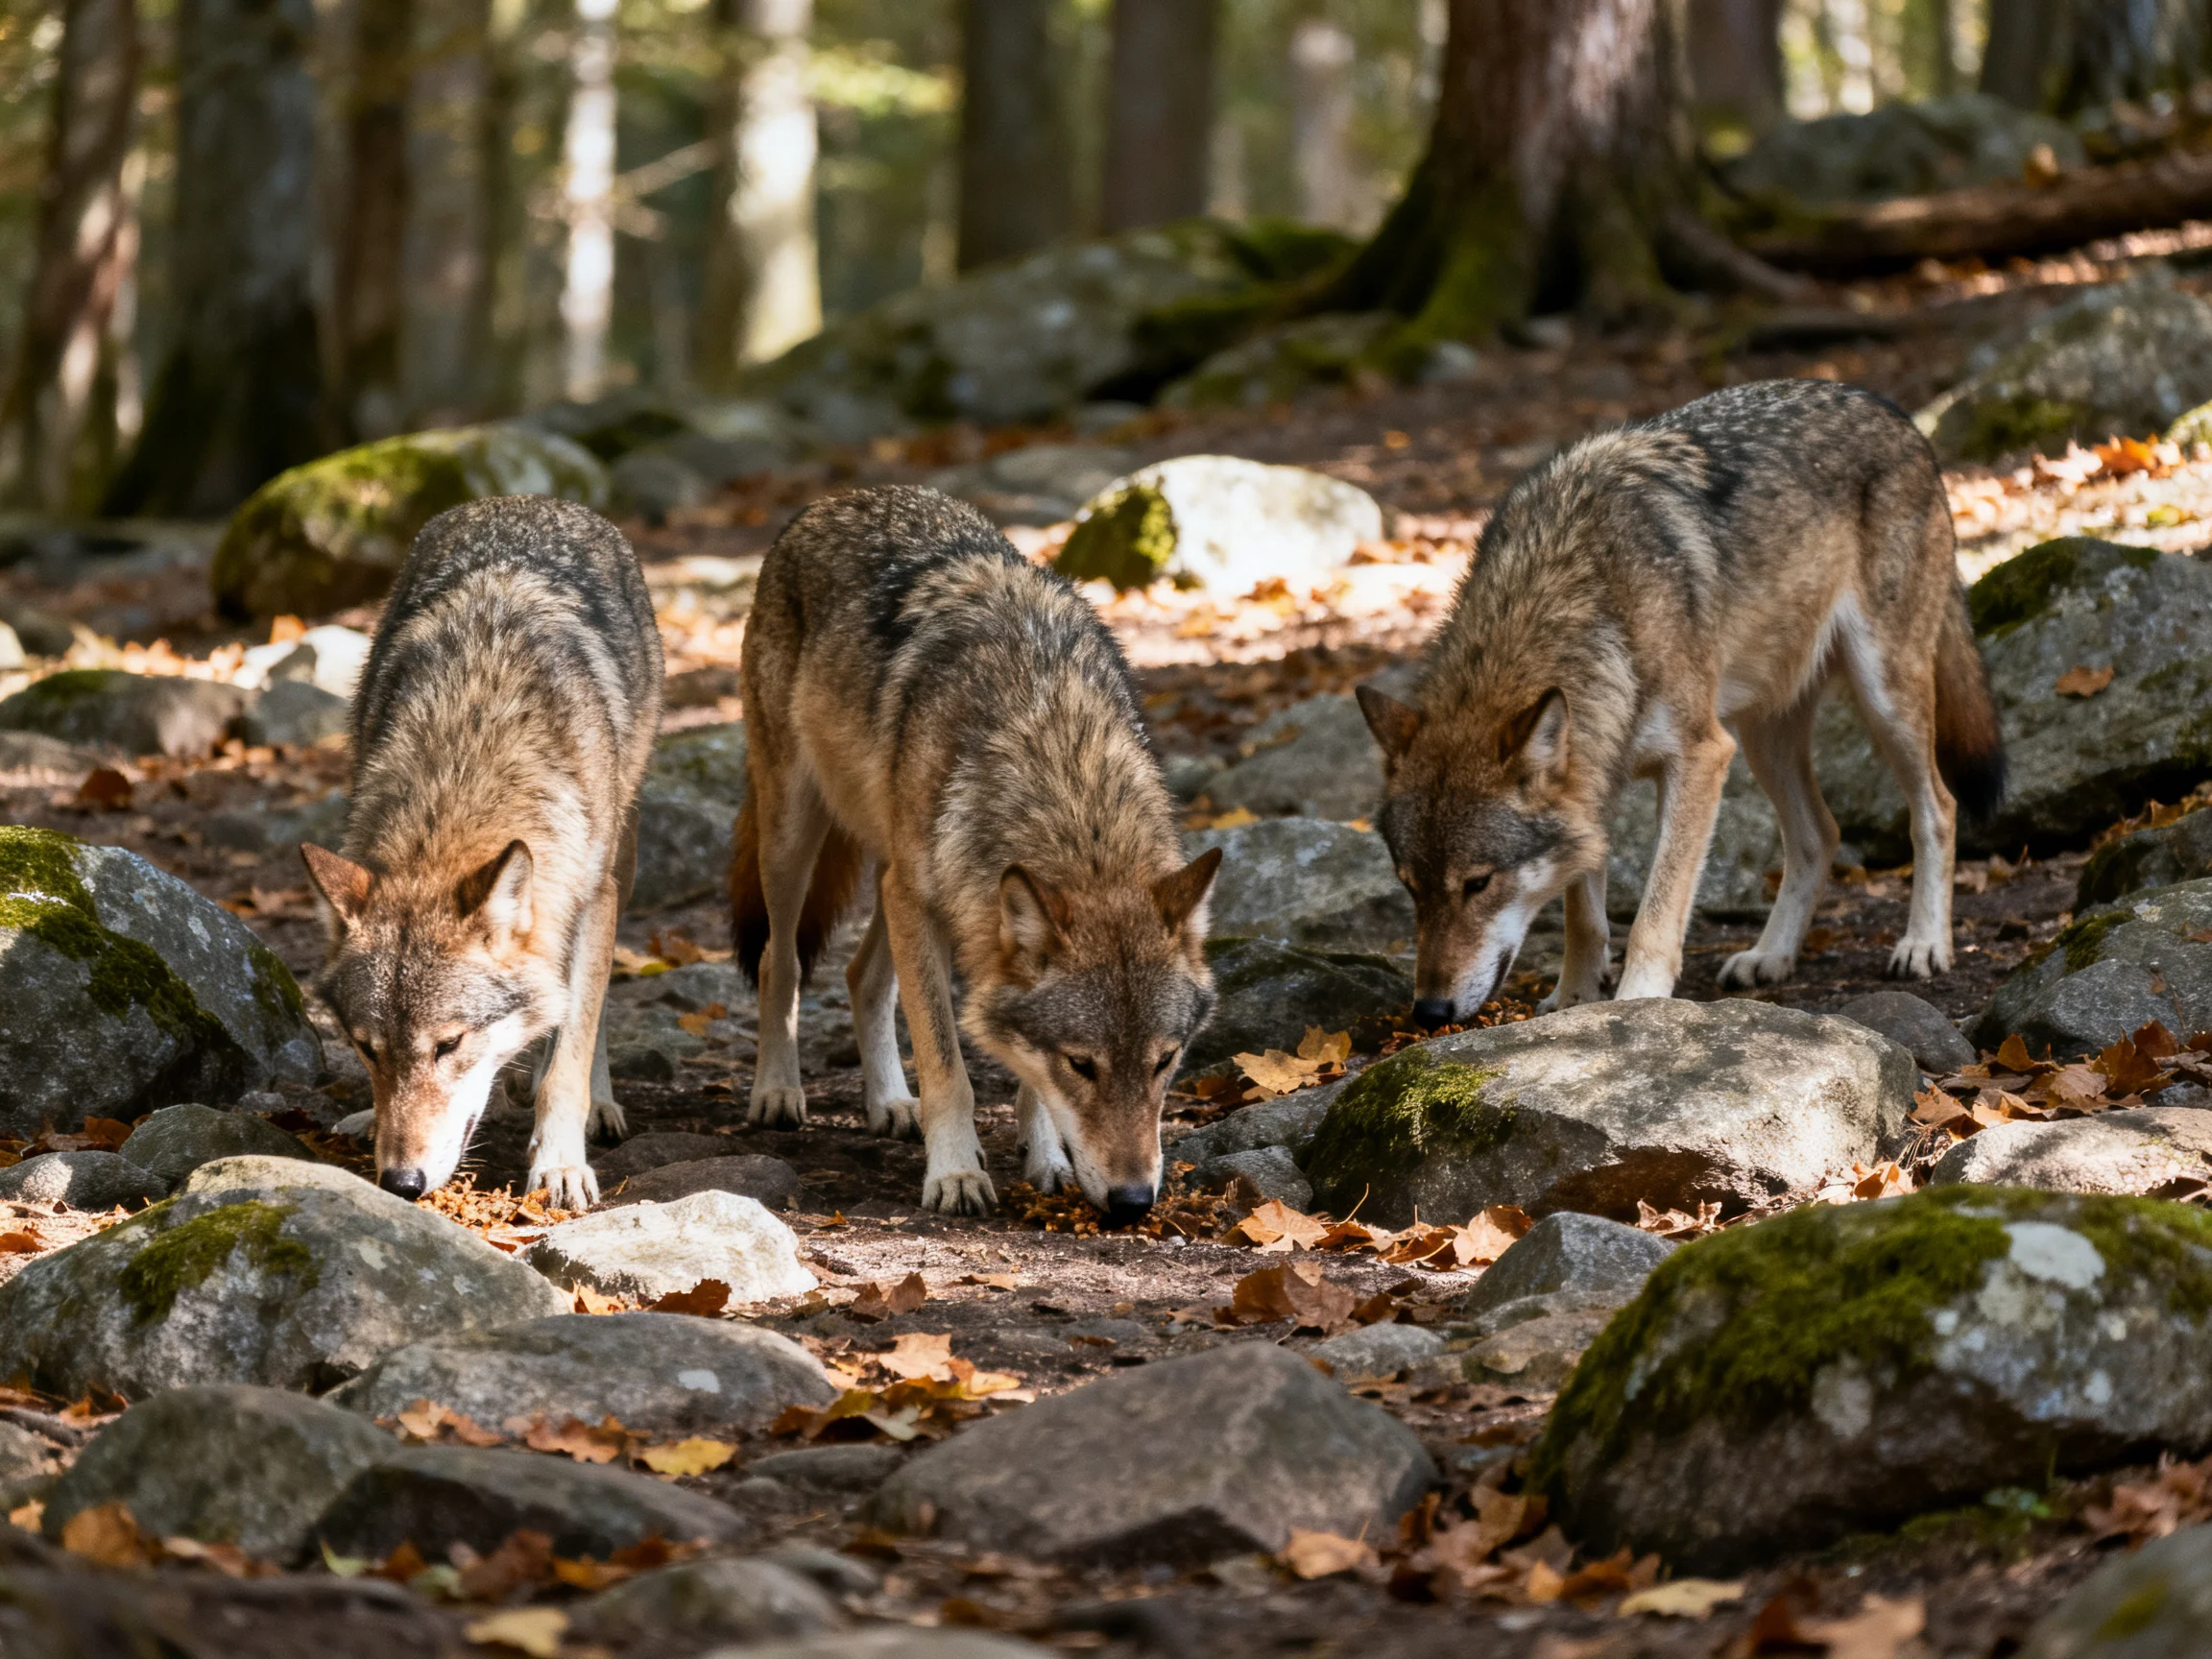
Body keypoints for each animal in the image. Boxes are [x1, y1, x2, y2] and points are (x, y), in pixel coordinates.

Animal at [299, 496, 663, 1209]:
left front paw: (559, 1163)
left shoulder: (589, 895)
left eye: (450, 1044)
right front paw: (372, 1116)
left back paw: (597, 1103)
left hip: (622, 860)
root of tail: (529, 500)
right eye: (367, 1049)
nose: (401, 1182)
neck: (464, 760)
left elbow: (571, 1049)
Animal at [731, 486, 1219, 1223]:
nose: (1134, 1201)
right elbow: (948, 1068)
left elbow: (1021, 1075)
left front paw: (1046, 1160)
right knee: (778, 961)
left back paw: (889, 1103)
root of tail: (841, 497)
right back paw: (778, 1090)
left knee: (861, 976)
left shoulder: (944, 908)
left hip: (896, 875)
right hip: (797, 836)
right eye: (1083, 1064)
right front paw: (957, 1175)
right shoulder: (921, 901)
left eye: (1164, 1062)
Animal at [1356, 378, 2004, 1025]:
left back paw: (1924, 943)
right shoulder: (1594, 775)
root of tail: (1890, 410)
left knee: (1938, 807)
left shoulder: (1699, 756)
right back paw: (1770, 956)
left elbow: (1655, 914)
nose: (1429, 1010)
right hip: (1761, 734)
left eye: (1478, 883)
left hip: (1881, 696)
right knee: (1820, 834)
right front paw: (1575, 1000)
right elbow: (1584, 917)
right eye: (1410, 887)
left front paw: (1637, 1002)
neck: (1577, 596)